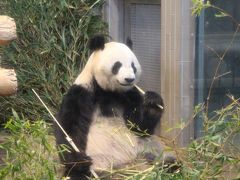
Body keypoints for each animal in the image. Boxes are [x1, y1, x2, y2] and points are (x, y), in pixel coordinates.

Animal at [54, 34, 174, 179]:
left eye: (133, 66)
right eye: (117, 65)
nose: (129, 79)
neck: (108, 91)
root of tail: (129, 168)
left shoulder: (130, 95)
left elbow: (139, 127)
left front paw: (152, 101)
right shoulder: (82, 93)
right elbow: (70, 127)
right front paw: (79, 160)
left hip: (147, 150)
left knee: (165, 160)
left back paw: (167, 167)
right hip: (100, 162)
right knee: (79, 174)